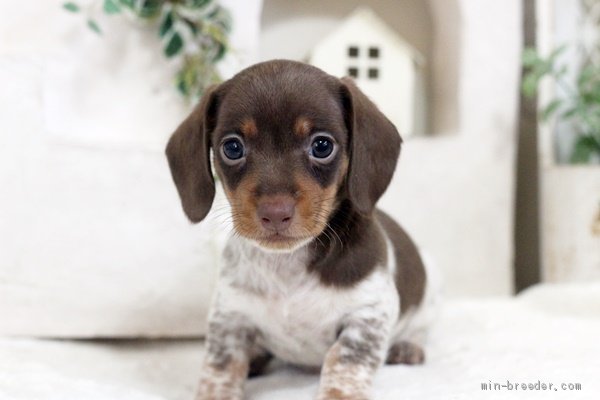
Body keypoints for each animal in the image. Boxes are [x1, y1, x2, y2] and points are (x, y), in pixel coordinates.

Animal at [166, 60, 434, 400]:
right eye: (232, 147)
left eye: (322, 145)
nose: (275, 213)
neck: (287, 265)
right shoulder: (229, 317)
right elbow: (221, 369)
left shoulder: (367, 317)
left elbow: (343, 364)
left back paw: (406, 346)